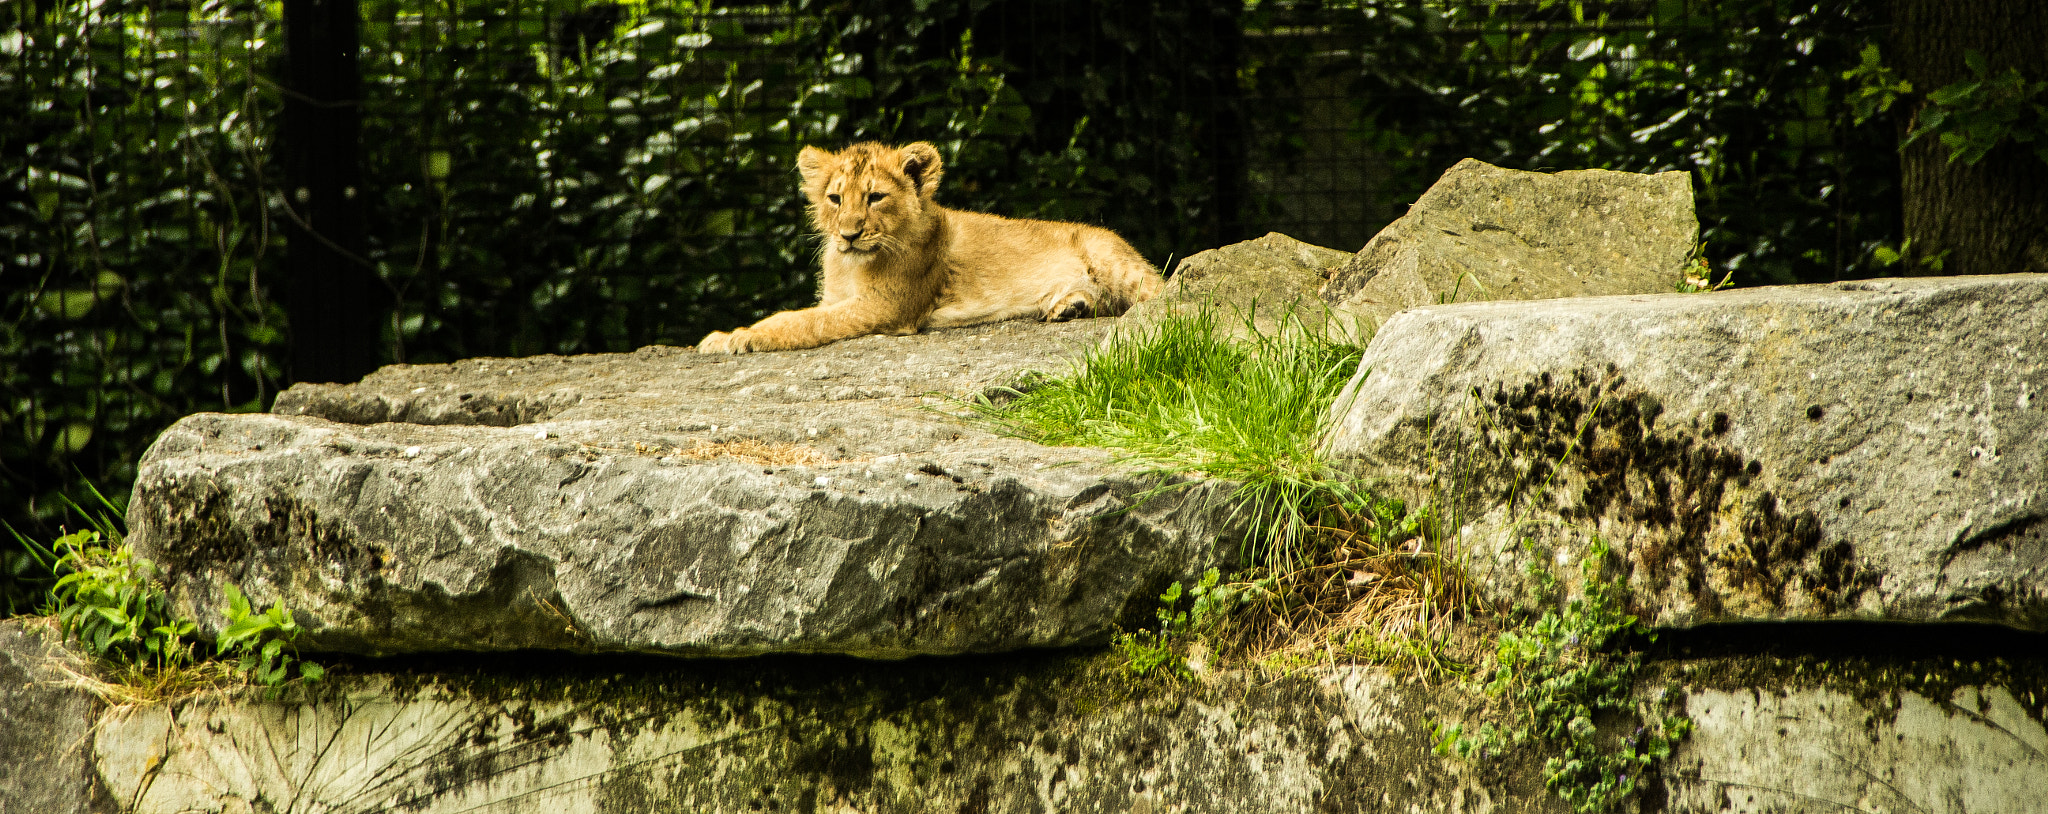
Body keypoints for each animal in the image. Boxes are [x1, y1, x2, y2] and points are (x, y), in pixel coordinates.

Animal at [696, 141, 1164, 354]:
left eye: (875, 197)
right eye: (835, 198)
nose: (848, 234)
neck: (850, 264)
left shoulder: (889, 306)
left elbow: (800, 322)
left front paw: (734, 337)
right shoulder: (841, 297)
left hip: (1113, 258)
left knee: (1157, 292)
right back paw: (1070, 305)